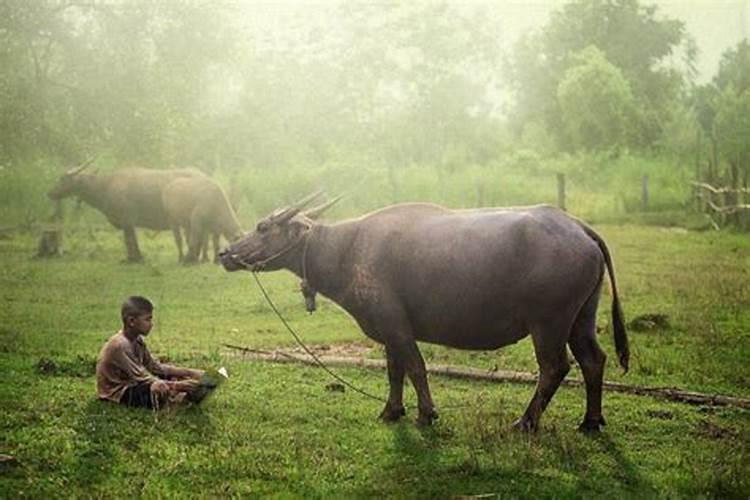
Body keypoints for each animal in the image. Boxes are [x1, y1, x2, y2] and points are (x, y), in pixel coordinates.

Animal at [47, 161, 206, 264]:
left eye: (63, 178)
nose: (51, 193)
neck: (106, 186)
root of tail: (204, 176)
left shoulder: (127, 220)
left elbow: (129, 239)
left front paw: (134, 258)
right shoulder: (127, 222)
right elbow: (130, 239)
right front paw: (135, 257)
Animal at [220, 197, 632, 432]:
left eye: (262, 226)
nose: (226, 253)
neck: (346, 248)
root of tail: (579, 227)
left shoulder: (397, 326)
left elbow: (416, 368)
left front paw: (426, 414)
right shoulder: (388, 329)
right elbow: (394, 370)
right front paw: (392, 410)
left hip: (548, 323)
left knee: (554, 367)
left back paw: (526, 422)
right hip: (581, 318)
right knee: (594, 359)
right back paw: (591, 421)